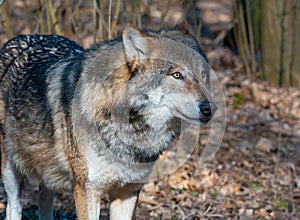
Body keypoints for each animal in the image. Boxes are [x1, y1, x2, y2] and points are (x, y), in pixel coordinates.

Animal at [0, 22, 216, 220]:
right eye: (177, 75)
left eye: (203, 76)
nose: (209, 109)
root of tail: (17, 39)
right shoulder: (87, 190)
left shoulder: (128, 192)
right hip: (10, 171)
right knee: (13, 208)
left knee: (43, 203)